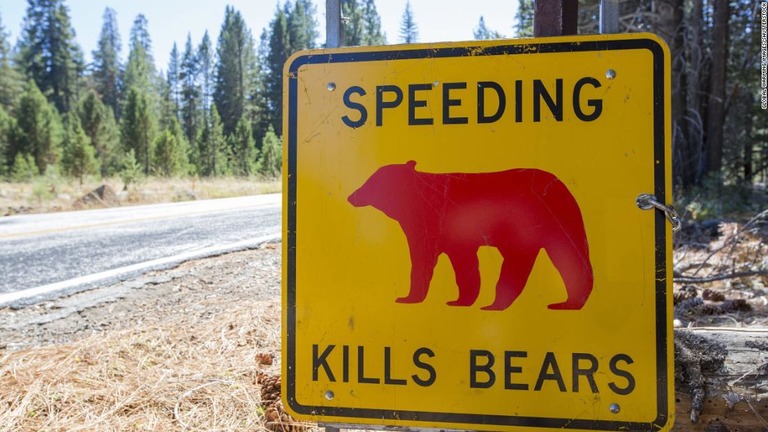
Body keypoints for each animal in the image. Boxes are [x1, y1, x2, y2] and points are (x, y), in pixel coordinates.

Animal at [348, 162, 592, 310]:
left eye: (372, 181)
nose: (352, 196)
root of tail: (561, 186)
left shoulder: (430, 222)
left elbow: (423, 257)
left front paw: (408, 297)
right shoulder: (455, 232)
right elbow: (463, 261)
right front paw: (461, 300)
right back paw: (568, 302)